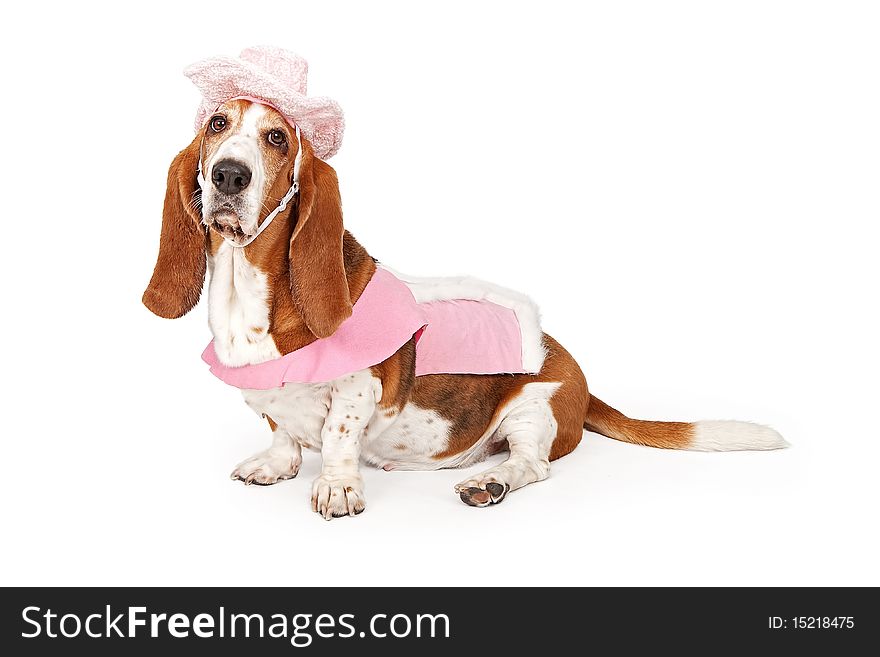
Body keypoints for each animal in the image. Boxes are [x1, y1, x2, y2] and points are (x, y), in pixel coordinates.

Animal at [141, 98, 788, 516]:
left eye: (278, 137)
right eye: (217, 124)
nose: (228, 175)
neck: (247, 290)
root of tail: (580, 377)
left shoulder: (358, 390)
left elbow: (339, 437)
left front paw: (337, 486)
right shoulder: (267, 393)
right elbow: (280, 429)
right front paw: (277, 463)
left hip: (535, 410)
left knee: (532, 464)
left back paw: (491, 482)